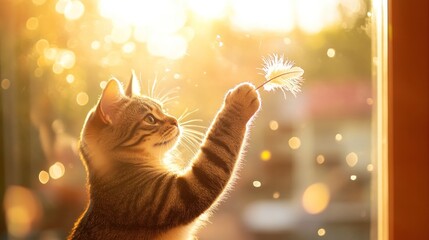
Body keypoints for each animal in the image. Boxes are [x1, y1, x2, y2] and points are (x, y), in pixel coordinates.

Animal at [68, 73, 260, 240]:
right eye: (150, 119)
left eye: (163, 109)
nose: (175, 120)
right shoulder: (183, 192)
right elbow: (220, 146)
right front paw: (239, 103)